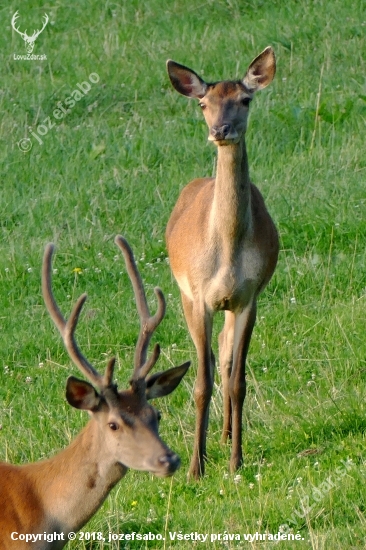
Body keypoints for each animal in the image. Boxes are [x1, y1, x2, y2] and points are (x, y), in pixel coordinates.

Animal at [167, 47, 280, 478]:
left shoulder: (249, 297)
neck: (229, 252)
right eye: (204, 103)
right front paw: (195, 468)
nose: (221, 130)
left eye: (245, 99)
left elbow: (237, 380)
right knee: (213, 358)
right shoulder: (199, 296)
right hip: (184, 295)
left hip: (230, 304)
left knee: (226, 357)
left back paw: (226, 435)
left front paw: (236, 460)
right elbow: (202, 381)